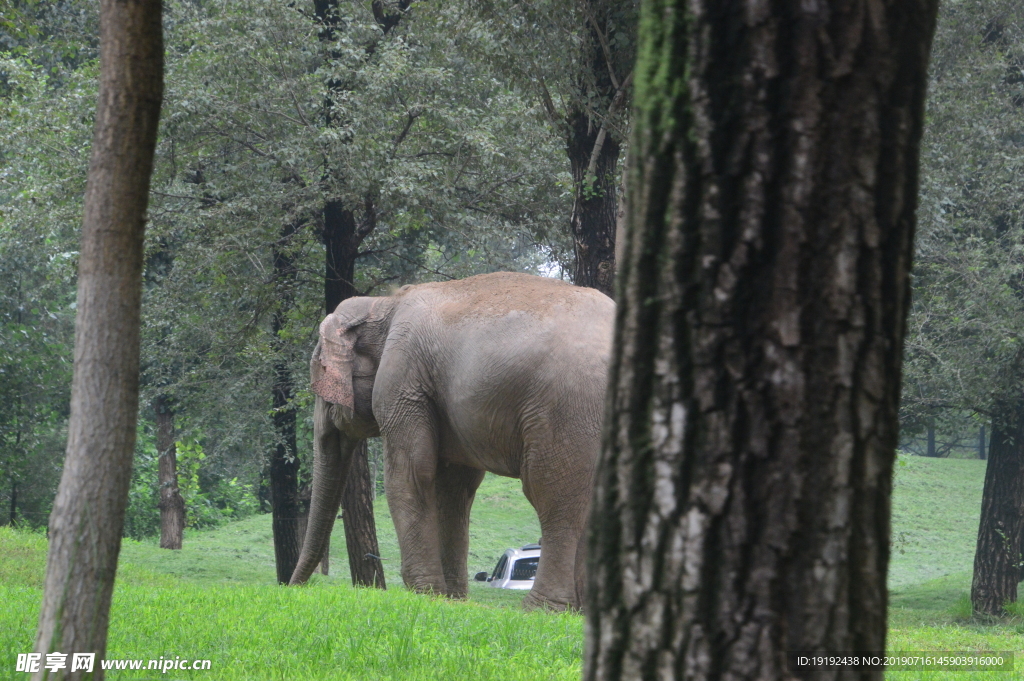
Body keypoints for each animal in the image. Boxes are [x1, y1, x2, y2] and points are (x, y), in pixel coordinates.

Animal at [286, 268, 614, 606]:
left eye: (320, 380)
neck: (384, 304)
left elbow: (411, 473)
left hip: (567, 410)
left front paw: (424, 595)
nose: (292, 588)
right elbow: (454, 488)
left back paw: (540, 609)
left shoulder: (402, 380)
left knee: (550, 494)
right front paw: (451, 600)